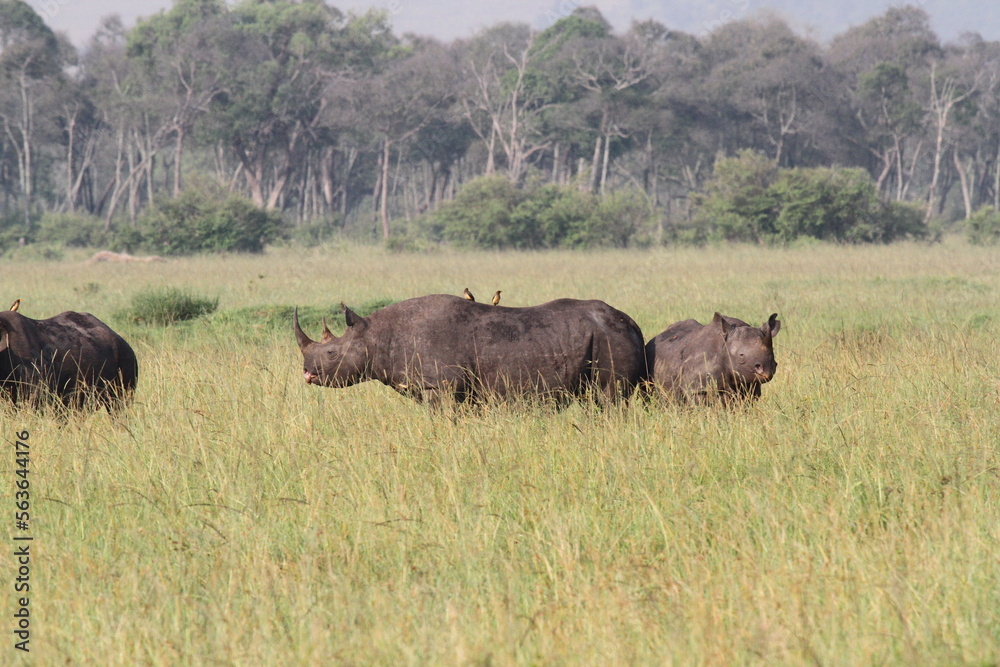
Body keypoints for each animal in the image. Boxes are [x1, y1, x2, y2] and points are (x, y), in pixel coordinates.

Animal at [292, 294, 644, 404]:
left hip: (609, 337)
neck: (376, 336)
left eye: (331, 354)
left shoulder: (442, 386)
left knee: (608, 398)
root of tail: (632, 322)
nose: (307, 374)